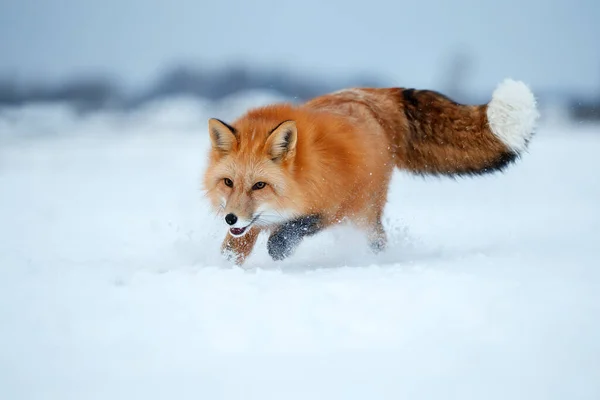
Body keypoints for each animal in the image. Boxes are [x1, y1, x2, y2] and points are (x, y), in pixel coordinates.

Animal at [204, 79, 540, 264]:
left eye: (259, 185)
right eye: (228, 182)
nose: (229, 217)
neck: (305, 173)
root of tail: (375, 94)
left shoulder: (335, 204)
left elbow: (295, 228)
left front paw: (278, 249)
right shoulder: (251, 223)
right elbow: (237, 243)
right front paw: (227, 265)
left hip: (365, 211)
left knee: (377, 239)